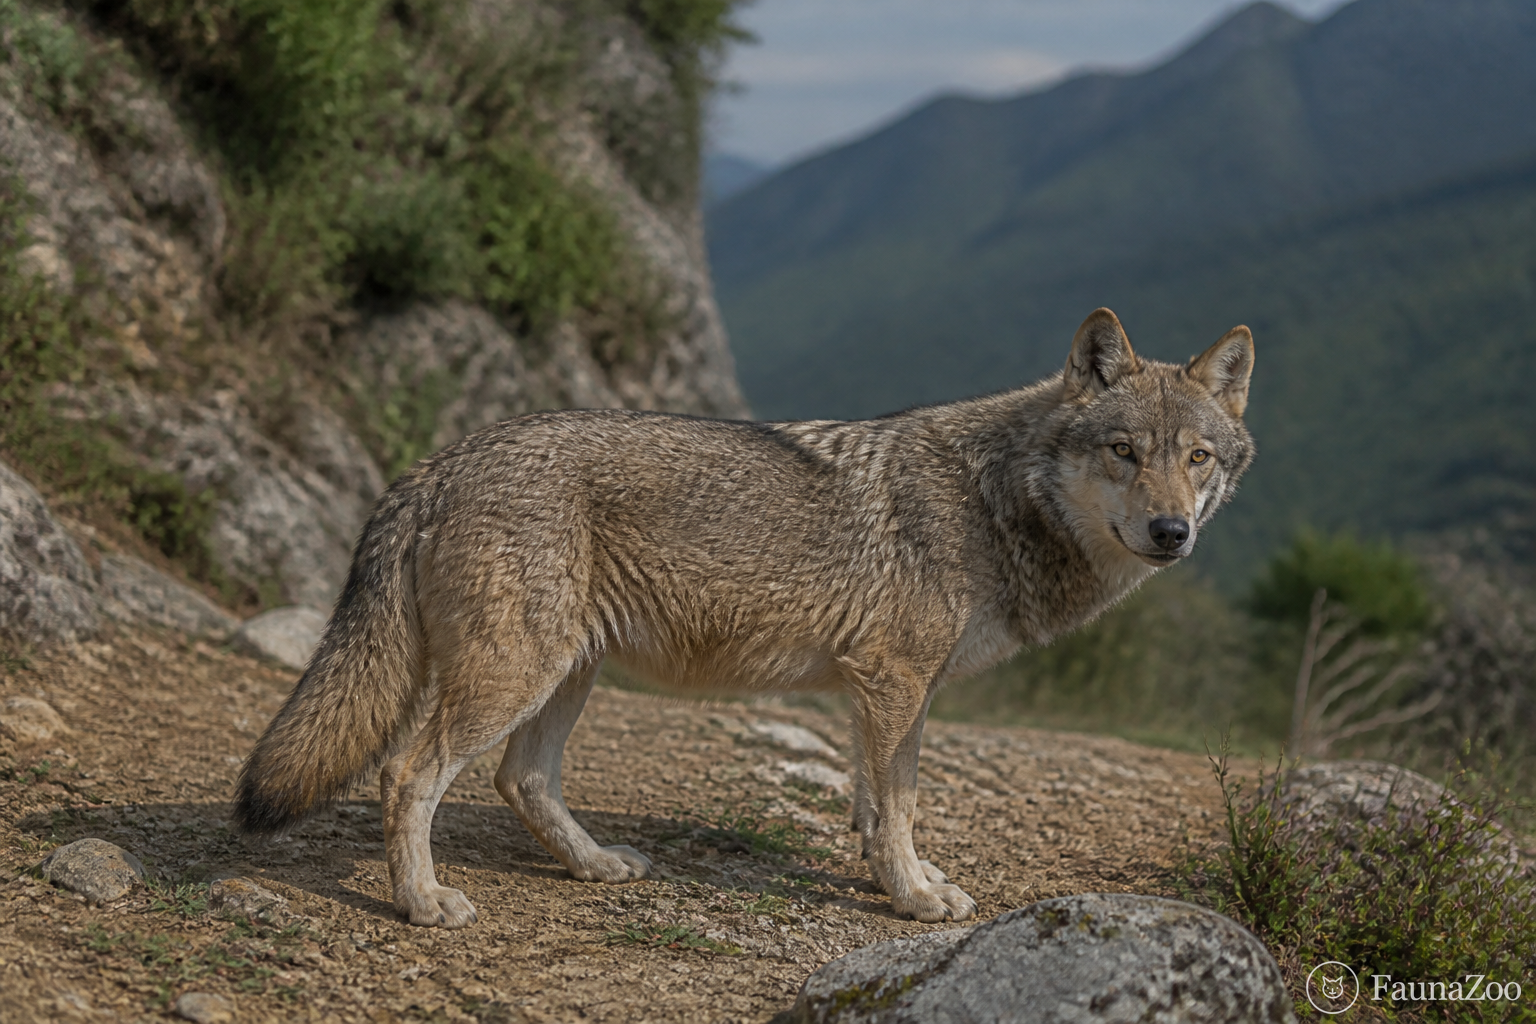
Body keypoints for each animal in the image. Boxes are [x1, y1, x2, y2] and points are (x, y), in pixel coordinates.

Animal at [234, 308, 1255, 928]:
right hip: (514, 677)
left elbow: (876, 806)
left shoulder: (884, 693)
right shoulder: (895, 683)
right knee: (408, 772)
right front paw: (913, 898)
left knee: (520, 780)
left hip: (564, 677)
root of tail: (438, 461)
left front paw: (899, 878)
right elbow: (901, 805)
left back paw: (594, 867)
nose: (1170, 533)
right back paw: (424, 902)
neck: (993, 497)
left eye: (1197, 458)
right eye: (1124, 451)